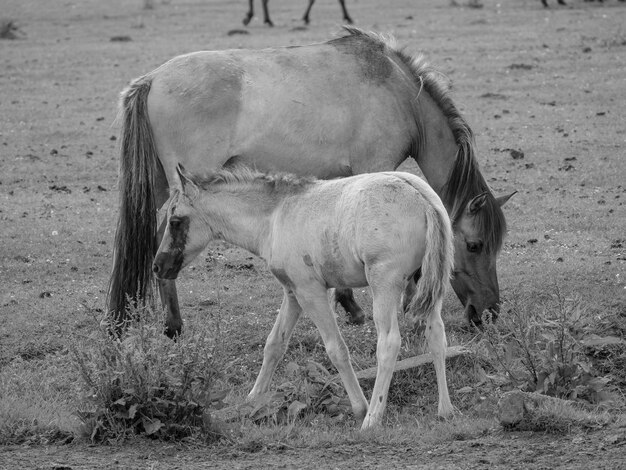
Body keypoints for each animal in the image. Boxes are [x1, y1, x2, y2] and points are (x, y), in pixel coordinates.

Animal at [107, 26, 516, 338]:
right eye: (475, 245)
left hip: (161, 185)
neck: (400, 92)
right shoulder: (375, 168)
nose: (490, 311)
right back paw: (173, 324)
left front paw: (349, 304)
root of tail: (151, 79)